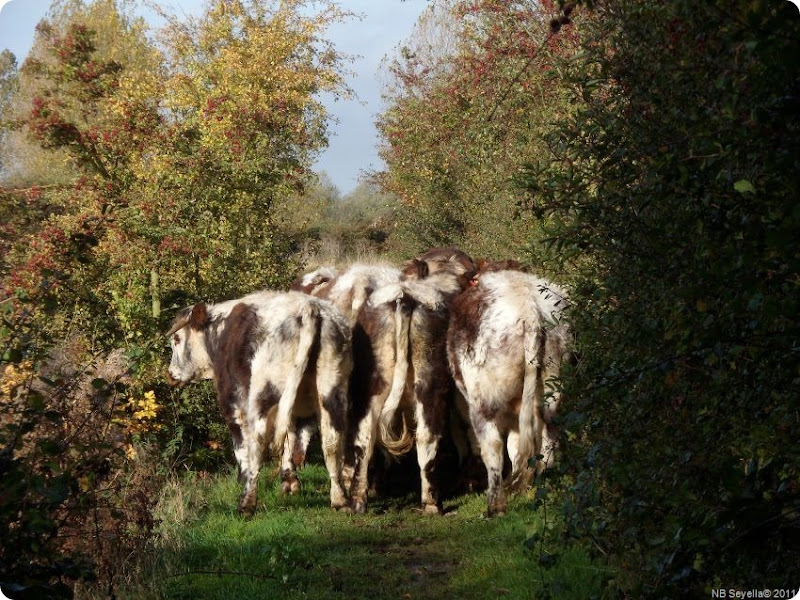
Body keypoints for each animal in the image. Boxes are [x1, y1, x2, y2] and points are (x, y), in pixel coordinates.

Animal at [167, 290, 352, 516]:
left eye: (177, 339)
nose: (170, 374)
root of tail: (309, 308)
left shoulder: (233, 403)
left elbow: (242, 446)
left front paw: (243, 478)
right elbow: (291, 438)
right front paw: (290, 482)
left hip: (263, 396)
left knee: (258, 442)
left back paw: (246, 503)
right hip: (331, 389)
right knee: (332, 440)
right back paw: (340, 499)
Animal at [446, 268, 572, 516]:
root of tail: (528, 306)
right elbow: (516, 447)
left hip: (483, 402)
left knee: (492, 447)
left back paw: (495, 505)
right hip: (552, 393)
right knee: (548, 438)